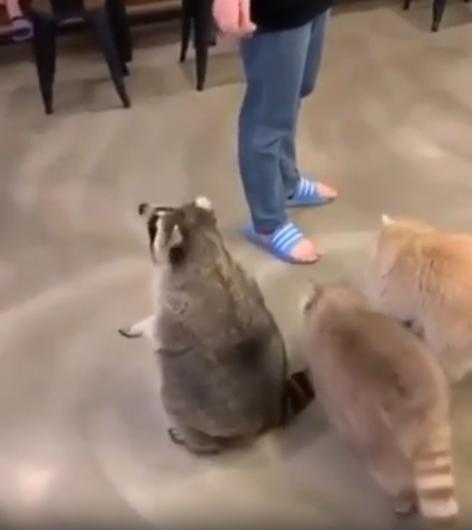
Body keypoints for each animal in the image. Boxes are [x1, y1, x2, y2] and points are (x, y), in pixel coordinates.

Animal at [119, 196, 314, 455]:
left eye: (154, 223)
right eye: (164, 208)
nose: (142, 207)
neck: (206, 246)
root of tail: (268, 415)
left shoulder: (174, 308)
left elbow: (159, 332)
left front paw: (143, 326)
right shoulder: (244, 274)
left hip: (192, 405)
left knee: (176, 407)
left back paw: (197, 443)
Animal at [303, 284, 458, 526]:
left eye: (308, 305)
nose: (305, 308)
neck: (335, 307)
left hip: (381, 458)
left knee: (398, 483)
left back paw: (405, 501)